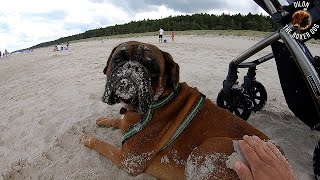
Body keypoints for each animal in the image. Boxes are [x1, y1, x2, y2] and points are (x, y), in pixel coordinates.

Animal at [81, 41, 268, 179]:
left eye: (151, 68)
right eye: (118, 59)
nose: (132, 67)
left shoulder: (128, 159)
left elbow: (101, 144)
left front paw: (87, 138)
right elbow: (117, 121)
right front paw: (104, 120)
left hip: (209, 150)